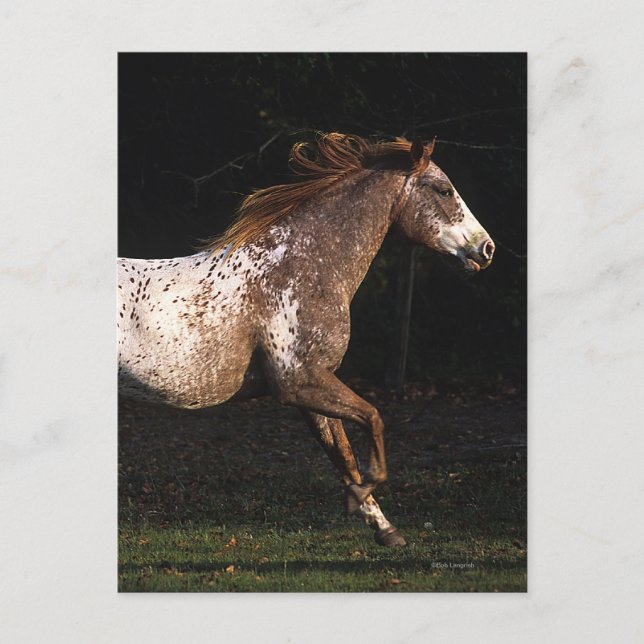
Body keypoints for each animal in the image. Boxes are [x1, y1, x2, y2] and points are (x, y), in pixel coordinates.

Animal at [118, 133, 495, 547]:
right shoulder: (299, 382)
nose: (486, 249)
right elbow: (373, 420)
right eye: (444, 190)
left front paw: (383, 527)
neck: (301, 267)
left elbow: (344, 456)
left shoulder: (314, 389)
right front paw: (360, 501)